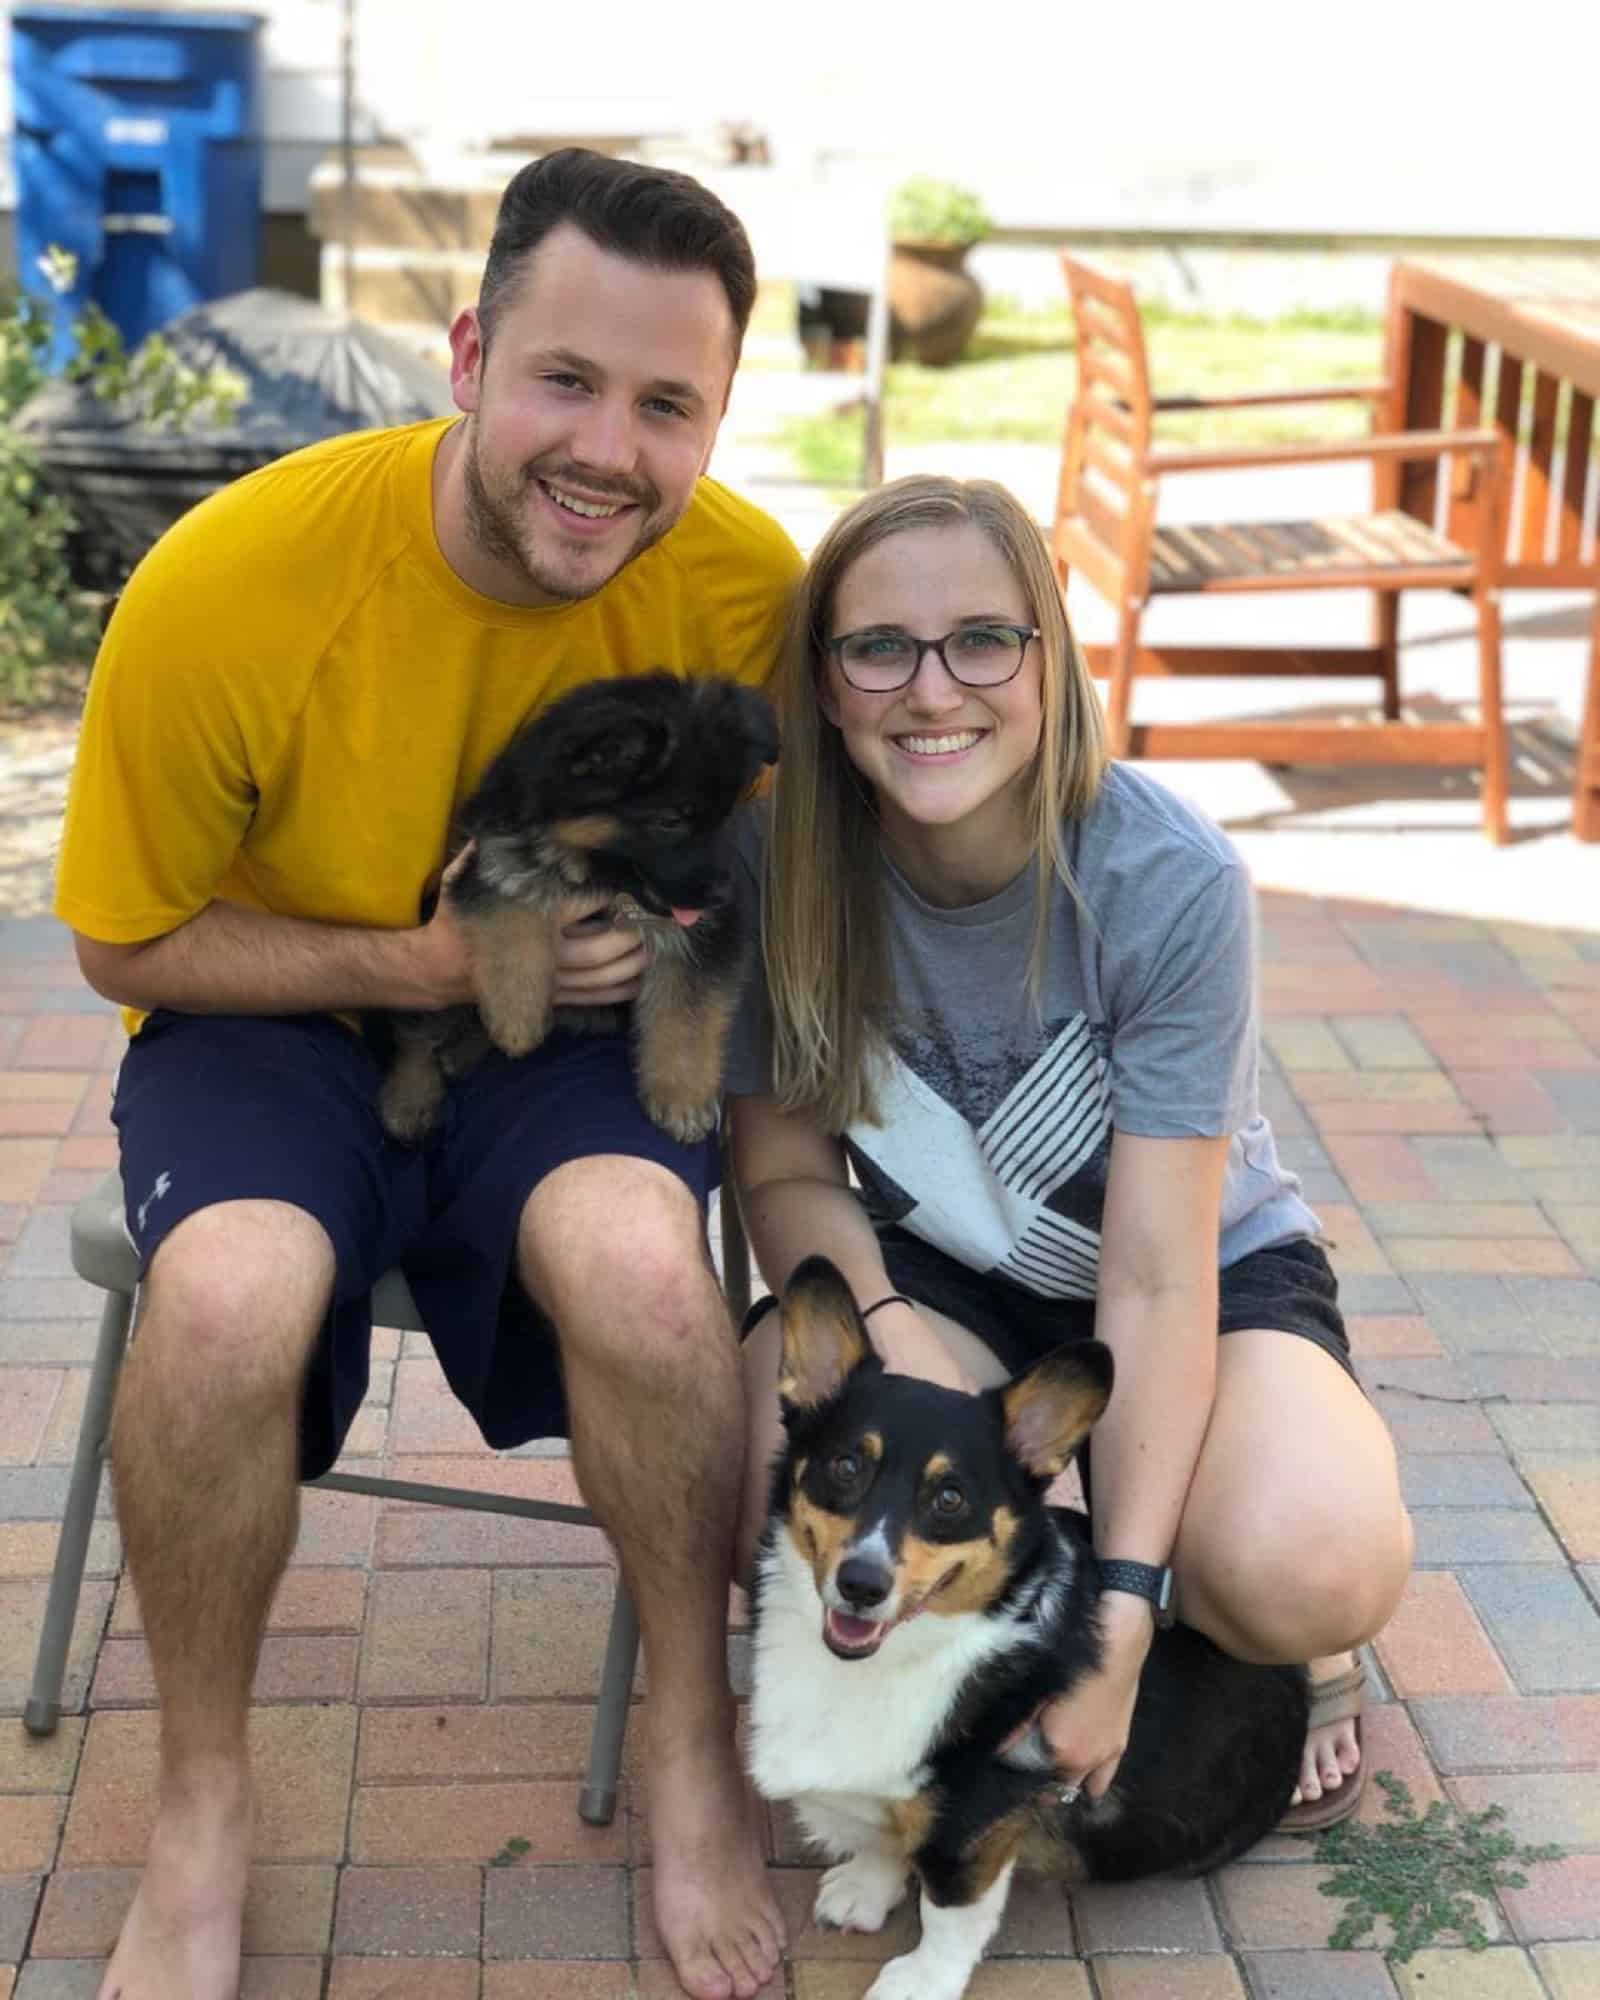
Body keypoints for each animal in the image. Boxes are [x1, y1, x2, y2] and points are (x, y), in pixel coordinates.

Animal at [370, 668, 780, 1144]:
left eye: (723, 818)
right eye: (670, 821)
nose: (721, 895)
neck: (594, 872)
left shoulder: (710, 937)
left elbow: (688, 1015)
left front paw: (682, 1098)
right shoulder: (489, 859)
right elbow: (514, 913)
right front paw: (517, 1016)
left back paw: (463, 1051)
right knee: (418, 1032)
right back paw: (410, 1097)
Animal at [744, 1256, 1304, 2000]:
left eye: (950, 1499)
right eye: (845, 1466)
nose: (861, 1584)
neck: (896, 1659)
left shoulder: (978, 1817)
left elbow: (950, 1908)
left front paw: (920, 1979)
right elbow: (885, 1836)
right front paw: (865, 1888)